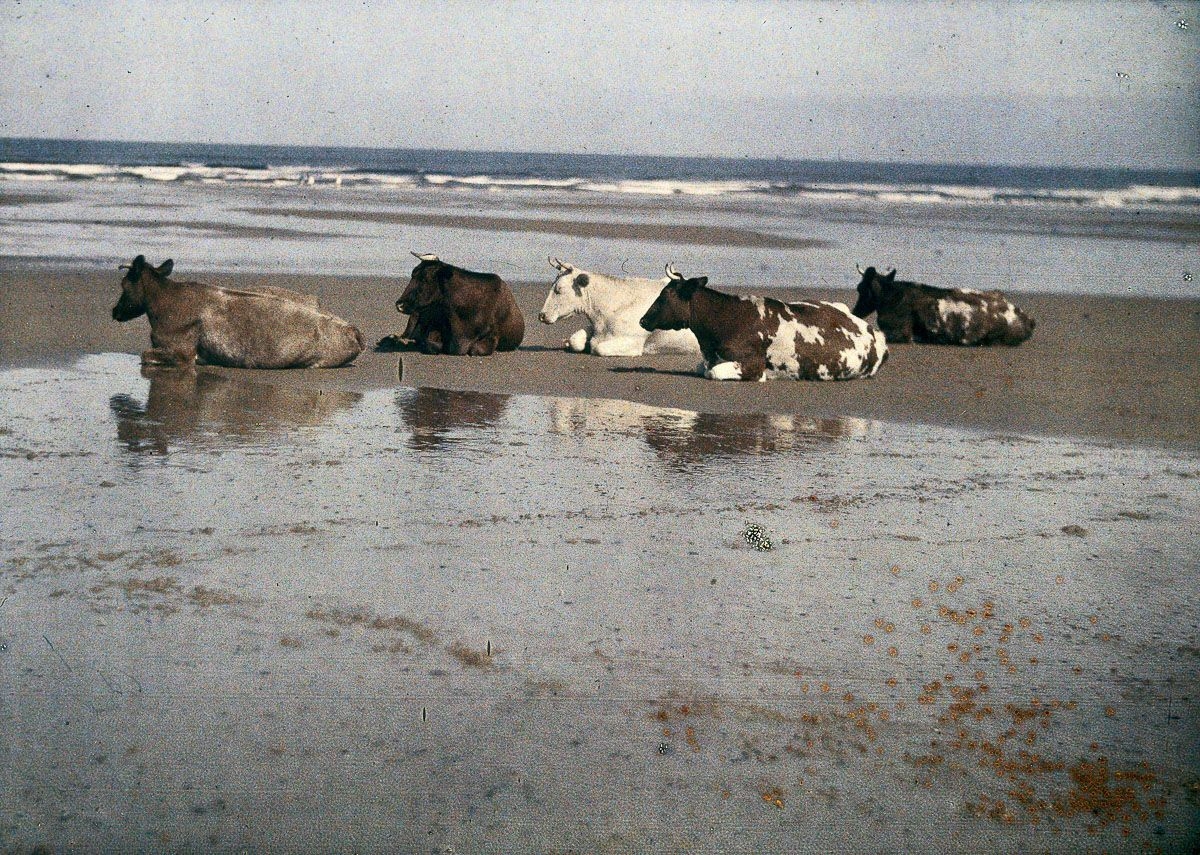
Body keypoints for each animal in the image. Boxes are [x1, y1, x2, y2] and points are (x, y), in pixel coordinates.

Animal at [112, 256, 364, 369]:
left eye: (124, 285)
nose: (114, 311)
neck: (164, 300)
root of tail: (353, 331)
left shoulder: (181, 353)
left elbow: (145, 355)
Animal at [393, 250, 525, 353]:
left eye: (425, 278)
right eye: (413, 274)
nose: (399, 304)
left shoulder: (492, 336)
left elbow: (475, 349)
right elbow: (430, 343)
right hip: (415, 315)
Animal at [638, 260, 892, 381]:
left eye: (665, 295)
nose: (642, 320)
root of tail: (874, 333)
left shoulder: (752, 364)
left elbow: (713, 372)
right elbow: (703, 367)